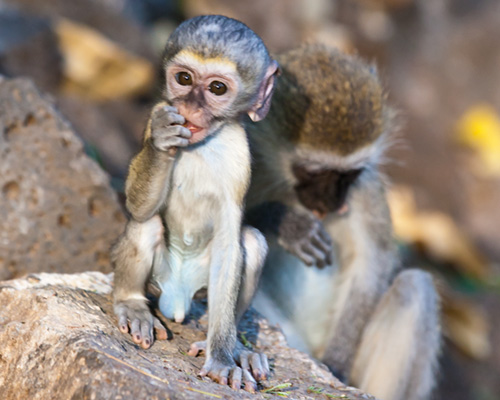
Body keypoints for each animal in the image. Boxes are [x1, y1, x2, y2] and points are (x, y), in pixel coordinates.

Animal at [111, 14, 280, 390]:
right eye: (184, 79)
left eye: (217, 88)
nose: (189, 107)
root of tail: (177, 298)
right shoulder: (156, 112)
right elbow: (138, 207)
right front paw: (163, 143)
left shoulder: (239, 157)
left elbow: (231, 244)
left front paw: (222, 358)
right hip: (158, 277)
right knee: (148, 223)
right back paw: (132, 304)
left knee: (252, 241)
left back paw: (233, 346)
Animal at [244, 43, 440, 400]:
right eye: (313, 172)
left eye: (348, 175)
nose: (330, 203)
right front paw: (287, 222)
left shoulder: (366, 190)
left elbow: (371, 264)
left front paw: (336, 360)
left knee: (414, 286)